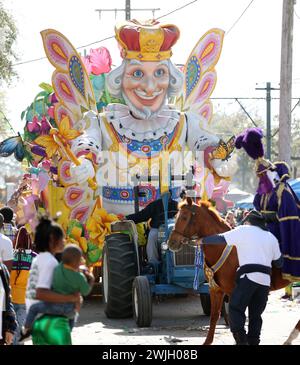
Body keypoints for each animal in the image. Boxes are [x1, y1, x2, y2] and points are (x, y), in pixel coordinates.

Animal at [168, 198, 292, 342]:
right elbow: (214, 316)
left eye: (184, 217)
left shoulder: (233, 292)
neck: (223, 246)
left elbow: (236, 322)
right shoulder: (215, 289)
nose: (171, 243)